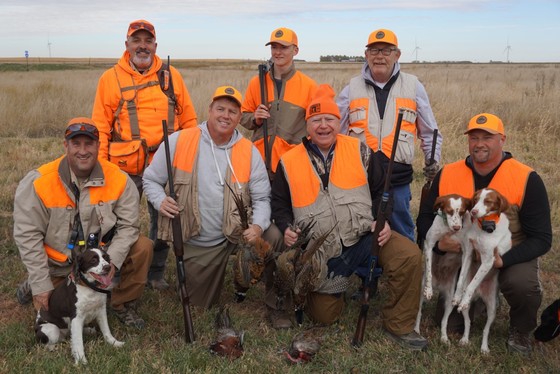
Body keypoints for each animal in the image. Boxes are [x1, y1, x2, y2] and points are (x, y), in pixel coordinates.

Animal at [416, 196, 472, 344]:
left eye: (462, 212)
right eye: (449, 211)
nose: (457, 227)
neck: (449, 230)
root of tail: (439, 285)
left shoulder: (467, 253)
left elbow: (461, 277)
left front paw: (458, 296)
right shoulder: (429, 244)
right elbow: (429, 272)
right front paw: (429, 290)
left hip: (449, 301)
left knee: (446, 321)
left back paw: (446, 337)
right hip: (420, 295)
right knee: (418, 313)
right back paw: (416, 330)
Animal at [456, 188, 512, 352]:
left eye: (488, 201)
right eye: (475, 199)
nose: (473, 211)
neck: (483, 229)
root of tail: (480, 294)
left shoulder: (488, 261)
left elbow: (472, 284)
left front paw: (463, 296)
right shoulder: (468, 253)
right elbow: (461, 280)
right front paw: (457, 297)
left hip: (492, 308)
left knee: (486, 330)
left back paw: (484, 348)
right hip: (468, 311)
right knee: (467, 322)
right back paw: (464, 339)